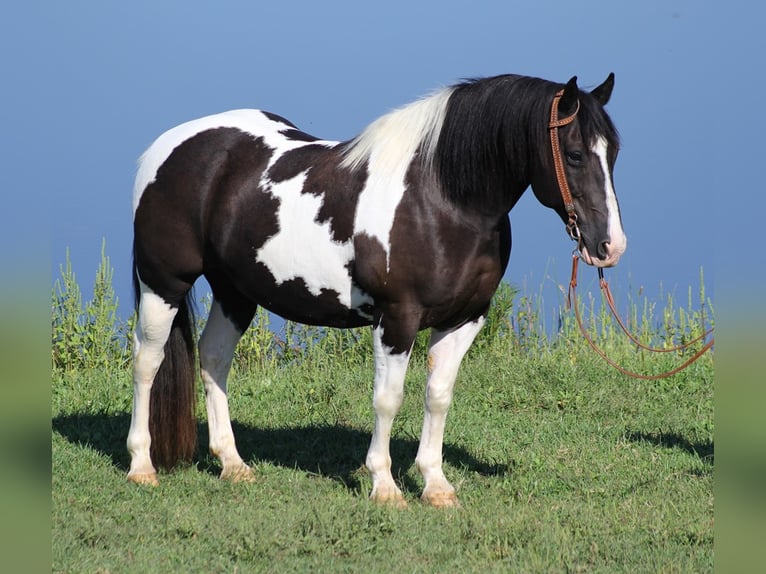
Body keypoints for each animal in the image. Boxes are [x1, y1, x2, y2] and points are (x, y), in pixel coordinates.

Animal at [129, 72, 628, 508]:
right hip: (164, 285)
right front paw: (385, 488)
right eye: (575, 154)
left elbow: (438, 396)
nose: (609, 246)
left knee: (214, 359)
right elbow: (388, 400)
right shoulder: (397, 318)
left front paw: (436, 486)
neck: (441, 200)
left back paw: (232, 465)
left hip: (235, 292)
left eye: (615, 153)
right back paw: (141, 466)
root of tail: (167, 147)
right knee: (148, 362)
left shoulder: (465, 319)